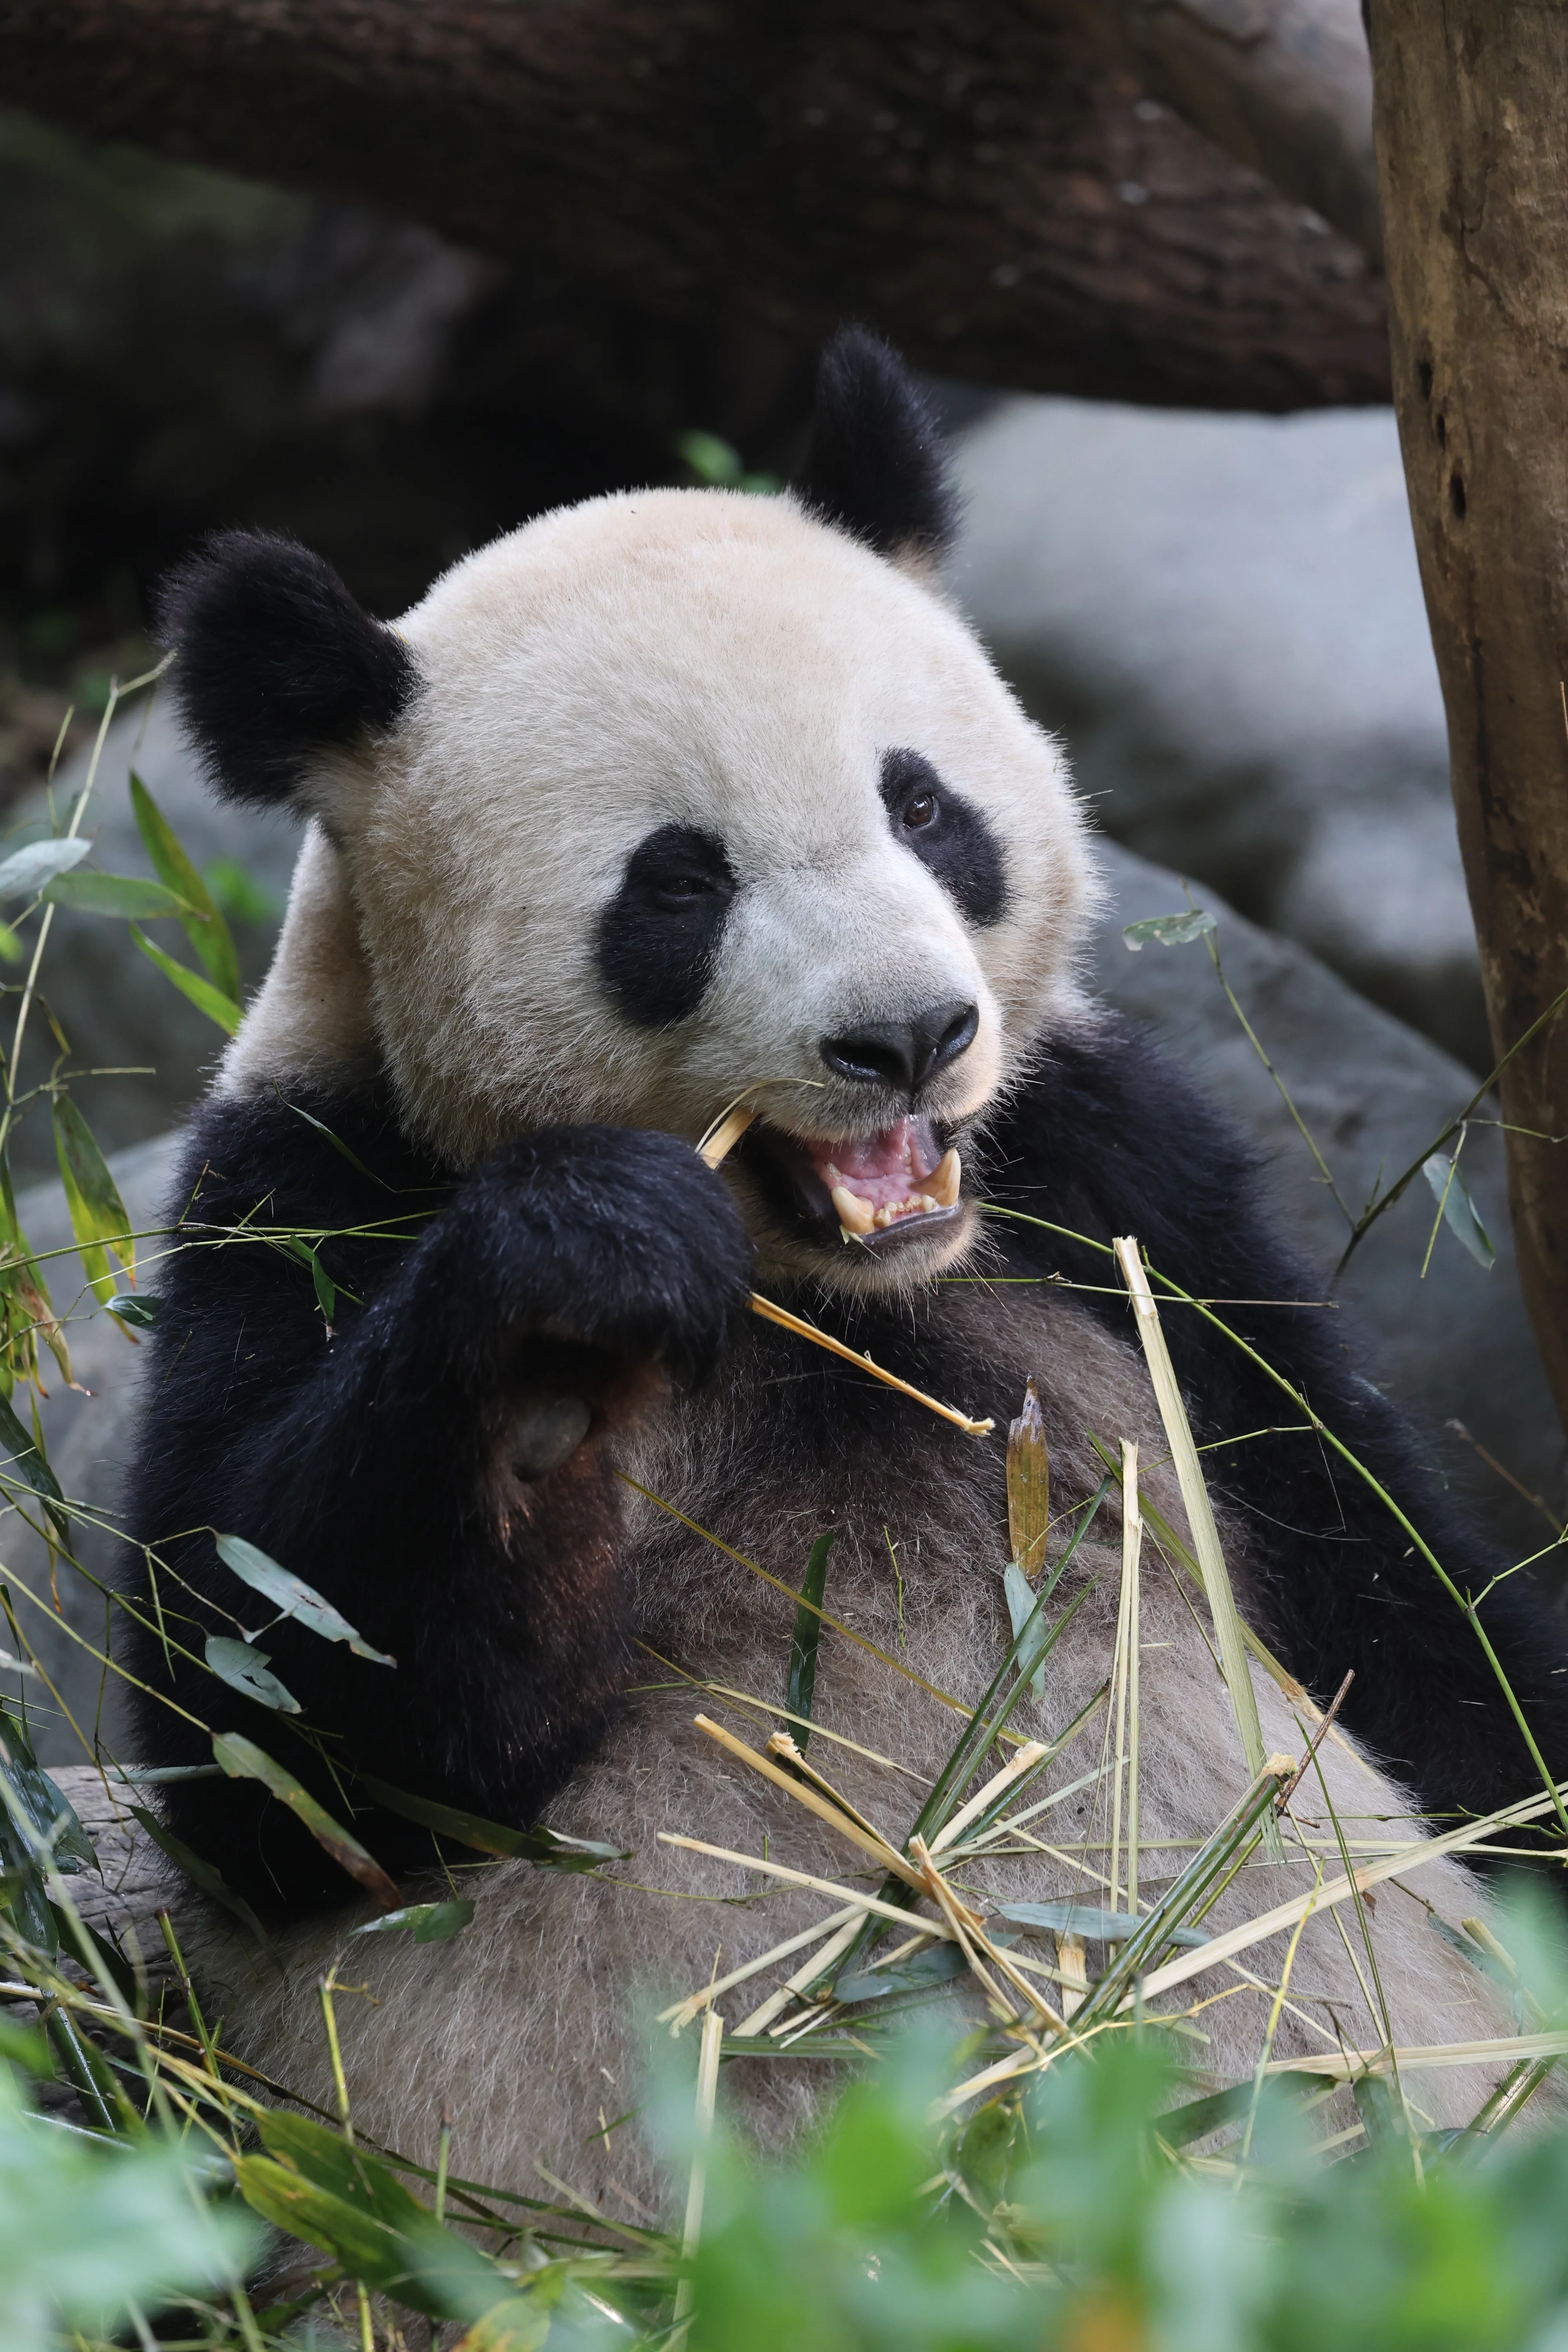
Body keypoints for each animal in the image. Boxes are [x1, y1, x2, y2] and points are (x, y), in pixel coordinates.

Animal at [122, 329, 1567, 2203]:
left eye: (922, 802)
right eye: (676, 884)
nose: (905, 1036)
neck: (824, 1292)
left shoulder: (1119, 1195)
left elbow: (1389, 1592)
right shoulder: (301, 1187)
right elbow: (277, 1736)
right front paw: (562, 1333)